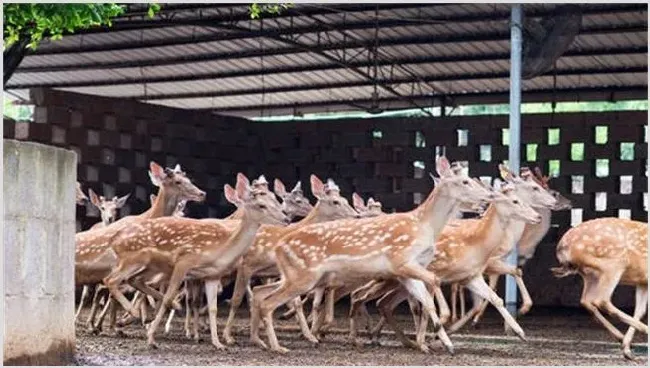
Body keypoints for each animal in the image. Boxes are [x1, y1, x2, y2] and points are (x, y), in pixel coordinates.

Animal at [220, 175, 356, 344]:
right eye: (335, 201)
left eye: (345, 199)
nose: (357, 215)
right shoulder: (247, 264)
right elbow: (237, 299)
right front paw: (228, 336)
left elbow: (296, 301)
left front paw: (310, 335)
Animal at [247, 157, 492, 356]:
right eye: (465, 181)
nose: (488, 196)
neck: (425, 227)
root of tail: (280, 246)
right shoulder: (401, 260)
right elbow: (435, 281)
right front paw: (440, 327)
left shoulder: (406, 272)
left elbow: (425, 299)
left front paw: (443, 343)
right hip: (303, 275)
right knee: (268, 302)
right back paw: (278, 346)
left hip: (295, 275)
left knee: (260, 293)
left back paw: (261, 341)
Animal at [548, 218, 644, 360]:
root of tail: (562, 248)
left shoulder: (643, 282)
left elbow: (640, 310)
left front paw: (627, 348)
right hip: (613, 265)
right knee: (601, 300)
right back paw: (640, 331)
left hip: (589, 274)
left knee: (586, 300)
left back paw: (622, 339)